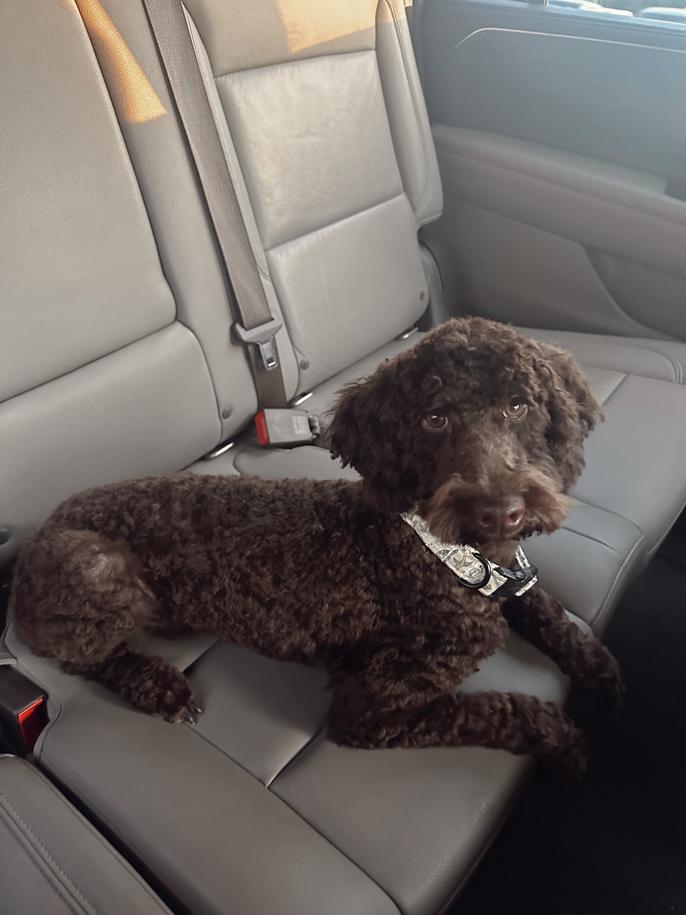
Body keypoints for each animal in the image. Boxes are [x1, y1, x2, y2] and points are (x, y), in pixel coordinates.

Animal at [10, 317, 622, 779]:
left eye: (519, 406)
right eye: (435, 418)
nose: (501, 511)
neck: (442, 554)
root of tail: (31, 541)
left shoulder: (509, 581)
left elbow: (544, 606)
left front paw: (597, 665)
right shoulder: (372, 709)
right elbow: (492, 708)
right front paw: (565, 737)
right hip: (96, 566)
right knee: (85, 657)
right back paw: (157, 685)